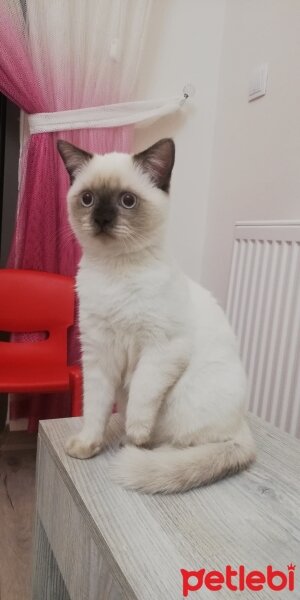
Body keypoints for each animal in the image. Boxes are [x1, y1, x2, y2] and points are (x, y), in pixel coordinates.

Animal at [56, 138, 255, 494]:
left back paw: (141, 448)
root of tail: (243, 426)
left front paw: (135, 433)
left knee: (191, 445)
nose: (102, 219)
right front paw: (87, 446)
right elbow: (94, 410)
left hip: (186, 403)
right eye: (88, 199)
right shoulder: (98, 355)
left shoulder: (161, 349)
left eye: (127, 201)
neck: (114, 272)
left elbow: (141, 395)